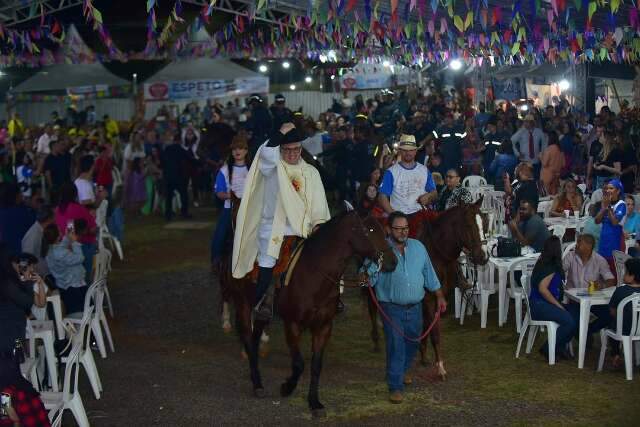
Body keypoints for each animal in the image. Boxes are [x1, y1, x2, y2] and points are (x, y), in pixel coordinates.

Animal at [222, 207, 398, 418]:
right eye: (370, 230)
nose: (393, 262)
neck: (315, 274)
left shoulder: (323, 326)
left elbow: (316, 365)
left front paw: (314, 402)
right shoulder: (292, 324)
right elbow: (299, 364)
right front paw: (287, 387)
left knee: (255, 336)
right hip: (242, 302)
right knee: (248, 339)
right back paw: (257, 384)